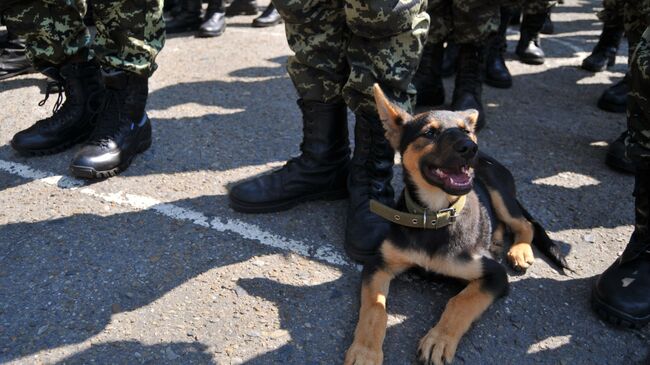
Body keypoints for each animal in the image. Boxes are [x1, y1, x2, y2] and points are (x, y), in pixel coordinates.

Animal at [342, 84, 564, 364]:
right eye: (429, 132)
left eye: (466, 131)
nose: (470, 148)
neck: (433, 215)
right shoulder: (378, 264)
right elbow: (375, 307)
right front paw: (365, 350)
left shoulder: (494, 275)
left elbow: (461, 302)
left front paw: (439, 339)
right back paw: (497, 240)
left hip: (497, 190)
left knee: (525, 224)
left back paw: (519, 250)